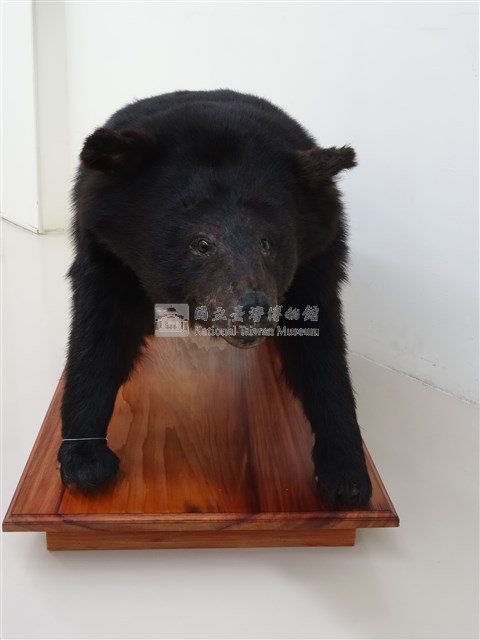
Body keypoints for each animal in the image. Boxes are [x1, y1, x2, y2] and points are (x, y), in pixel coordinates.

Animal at [58, 89, 372, 507]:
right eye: (201, 244)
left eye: (268, 242)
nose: (254, 308)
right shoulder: (105, 251)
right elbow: (98, 337)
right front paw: (85, 460)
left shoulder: (317, 259)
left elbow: (321, 352)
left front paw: (346, 474)